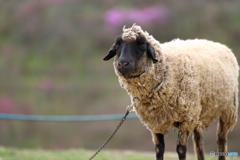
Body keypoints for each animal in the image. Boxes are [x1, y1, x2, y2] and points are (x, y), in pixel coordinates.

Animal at [102, 24, 238, 160]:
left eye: (142, 45)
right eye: (117, 45)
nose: (123, 64)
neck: (166, 70)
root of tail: (220, 44)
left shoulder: (185, 119)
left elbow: (181, 149)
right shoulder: (155, 121)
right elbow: (159, 149)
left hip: (227, 109)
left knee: (221, 139)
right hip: (198, 112)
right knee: (199, 140)